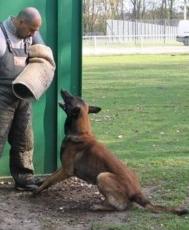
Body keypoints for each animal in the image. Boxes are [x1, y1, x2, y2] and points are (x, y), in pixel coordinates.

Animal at [34, 90, 188, 216]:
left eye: (71, 98)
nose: (63, 90)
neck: (80, 132)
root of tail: (137, 192)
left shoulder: (66, 170)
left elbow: (49, 181)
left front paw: (36, 191)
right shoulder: (63, 167)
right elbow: (50, 176)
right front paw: (37, 182)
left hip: (102, 176)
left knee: (120, 206)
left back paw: (99, 206)